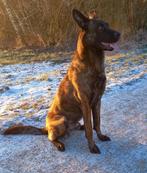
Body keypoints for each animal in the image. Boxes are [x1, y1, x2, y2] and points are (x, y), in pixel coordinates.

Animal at [4, 8, 120, 153]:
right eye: (100, 28)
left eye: (107, 25)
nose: (119, 34)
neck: (92, 64)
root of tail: (46, 127)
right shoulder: (86, 103)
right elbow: (90, 128)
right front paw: (92, 146)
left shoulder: (97, 101)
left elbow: (97, 123)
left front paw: (100, 136)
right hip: (61, 121)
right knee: (50, 137)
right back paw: (59, 143)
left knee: (80, 126)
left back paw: (79, 127)